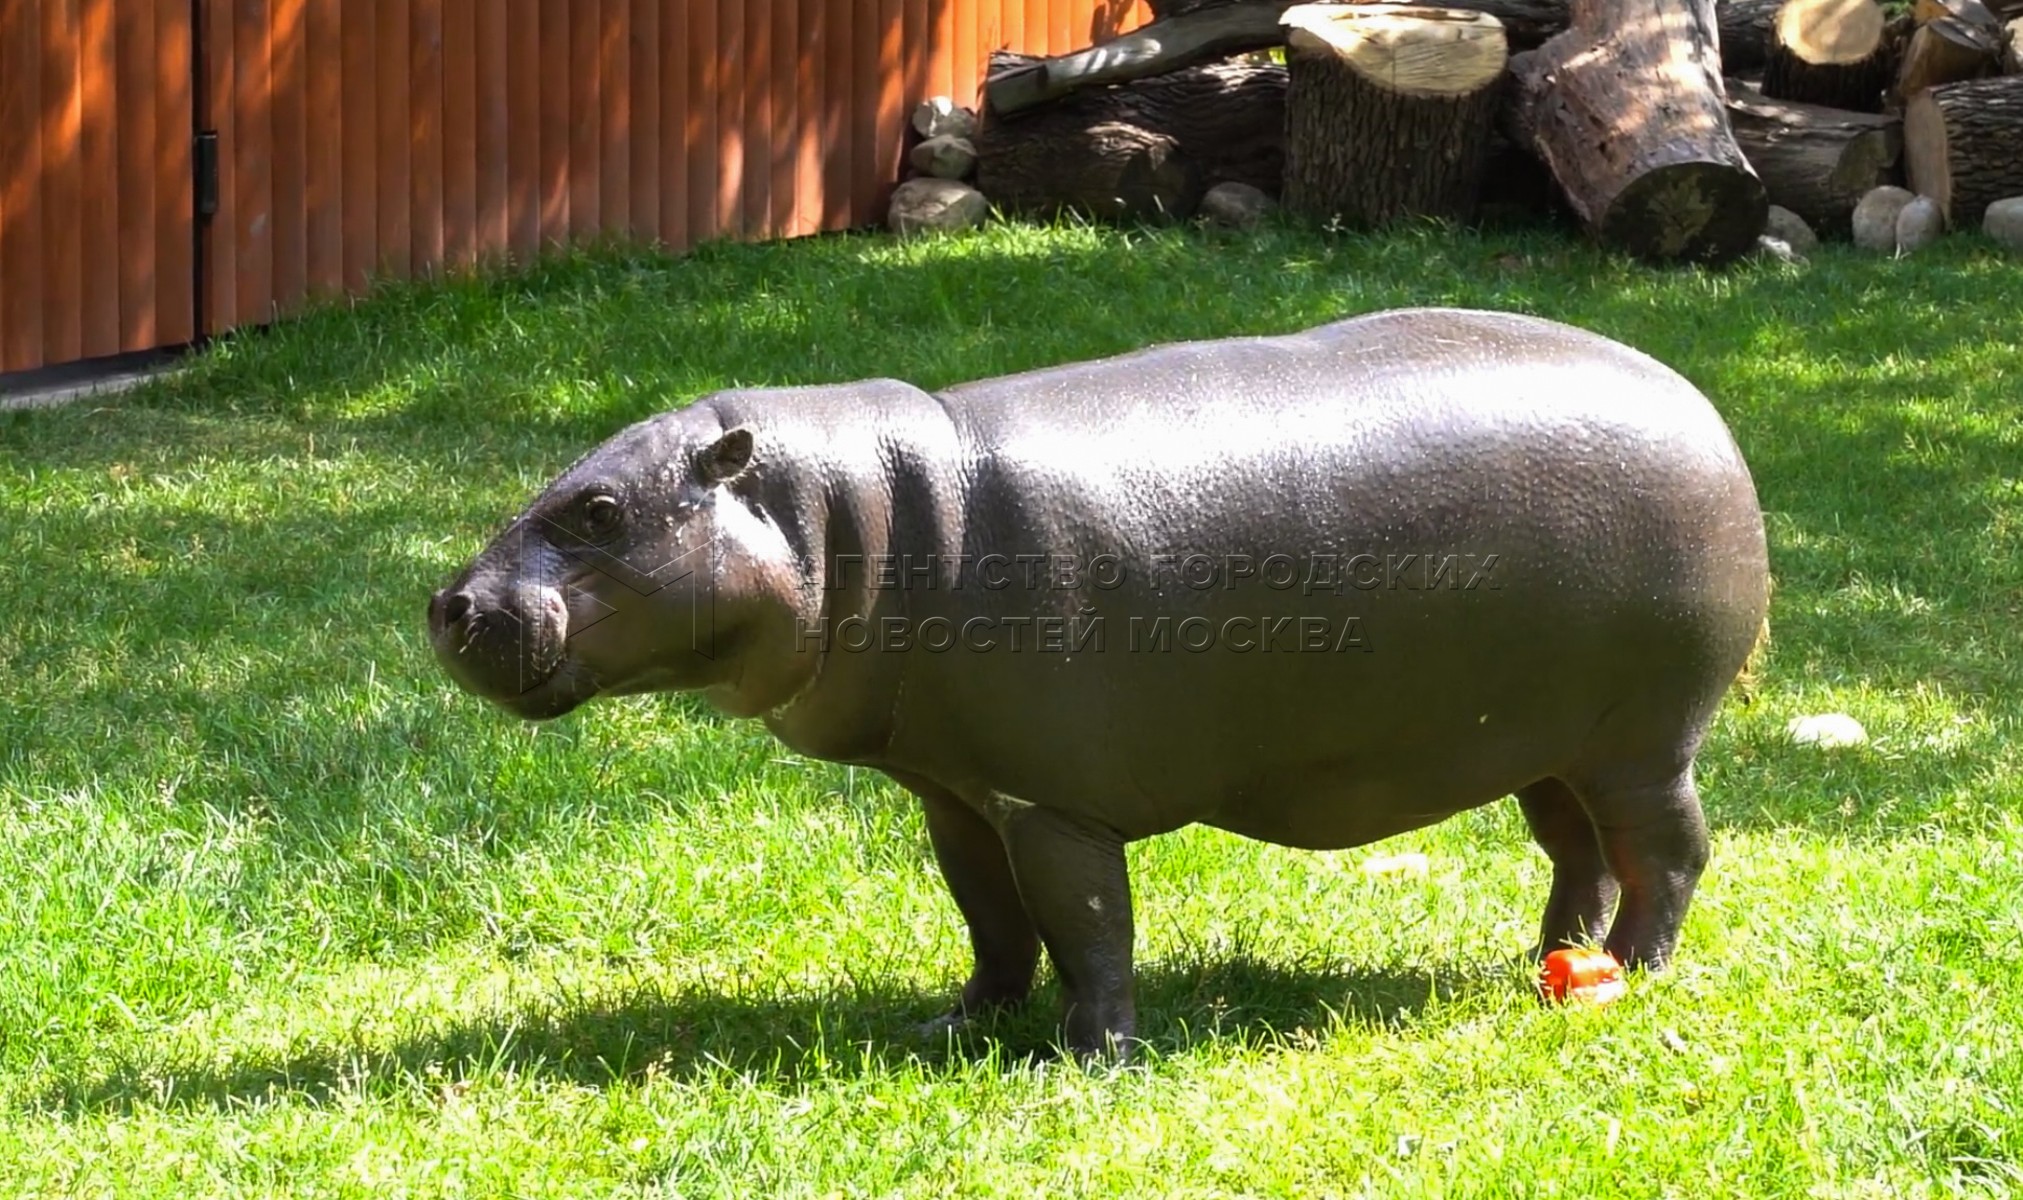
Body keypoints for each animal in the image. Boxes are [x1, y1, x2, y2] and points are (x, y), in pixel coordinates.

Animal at [426, 309, 1772, 1060]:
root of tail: (1704, 408)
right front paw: (956, 1026)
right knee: (1574, 851)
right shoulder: (955, 792)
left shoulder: (1052, 801)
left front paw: (1089, 1060)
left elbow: (1085, 925)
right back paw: (1546, 959)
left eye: (601, 509)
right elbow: (988, 917)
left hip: (1643, 735)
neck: (843, 514)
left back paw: (1631, 975)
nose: (450, 605)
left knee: (1670, 849)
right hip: (1538, 737)